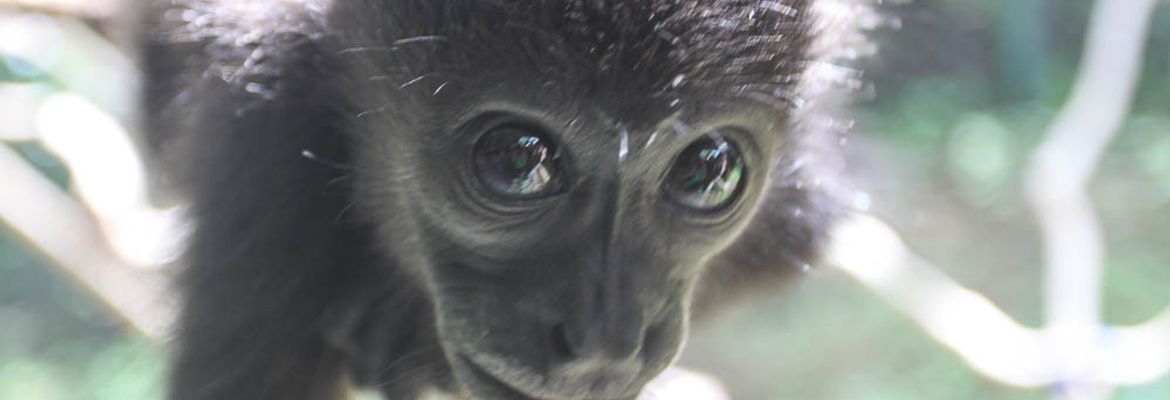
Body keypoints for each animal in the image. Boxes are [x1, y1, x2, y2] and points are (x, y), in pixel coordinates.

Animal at [138, 1, 862, 399]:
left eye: (707, 173)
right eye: (518, 163)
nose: (607, 343)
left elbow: (799, 232)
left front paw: (411, 331)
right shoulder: (264, 145)